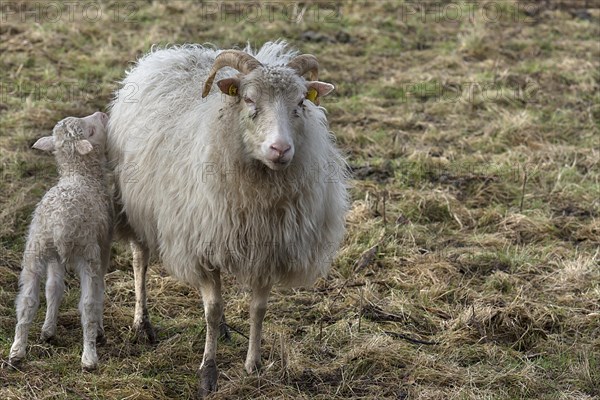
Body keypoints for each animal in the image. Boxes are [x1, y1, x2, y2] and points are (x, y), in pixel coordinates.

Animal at [9, 111, 113, 372]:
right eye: (91, 131)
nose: (101, 114)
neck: (80, 175)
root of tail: (59, 222)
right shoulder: (103, 246)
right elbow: (98, 291)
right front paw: (99, 330)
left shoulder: (55, 256)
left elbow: (53, 289)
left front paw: (48, 329)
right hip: (87, 252)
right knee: (87, 304)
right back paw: (89, 357)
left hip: (36, 249)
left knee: (27, 301)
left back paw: (17, 351)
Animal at [108, 40, 346, 396]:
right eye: (248, 99)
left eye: (301, 102)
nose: (280, 149)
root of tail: (173, 52)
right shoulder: (201, 246)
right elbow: (211, 309)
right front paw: (208, 372)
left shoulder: (268, 250)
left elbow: (257, 309)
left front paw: (253, 365)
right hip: (136, 207)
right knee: (140, 261)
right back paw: (142, 324)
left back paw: (222, 331)